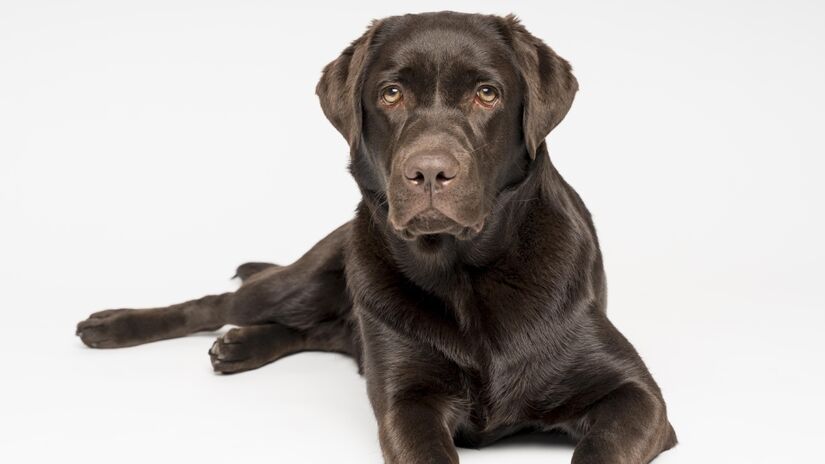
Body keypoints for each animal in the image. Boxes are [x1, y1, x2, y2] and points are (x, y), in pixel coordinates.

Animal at [75, 11, 676, 464]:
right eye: (390, 94)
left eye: (488, 93)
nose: (429, 171)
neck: (464, 275)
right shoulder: (405, 401)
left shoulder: (638, 397)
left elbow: (602, 445)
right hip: (314, 277)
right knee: (225, 302)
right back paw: (114, 324)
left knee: (320, 330)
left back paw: (240, 345)